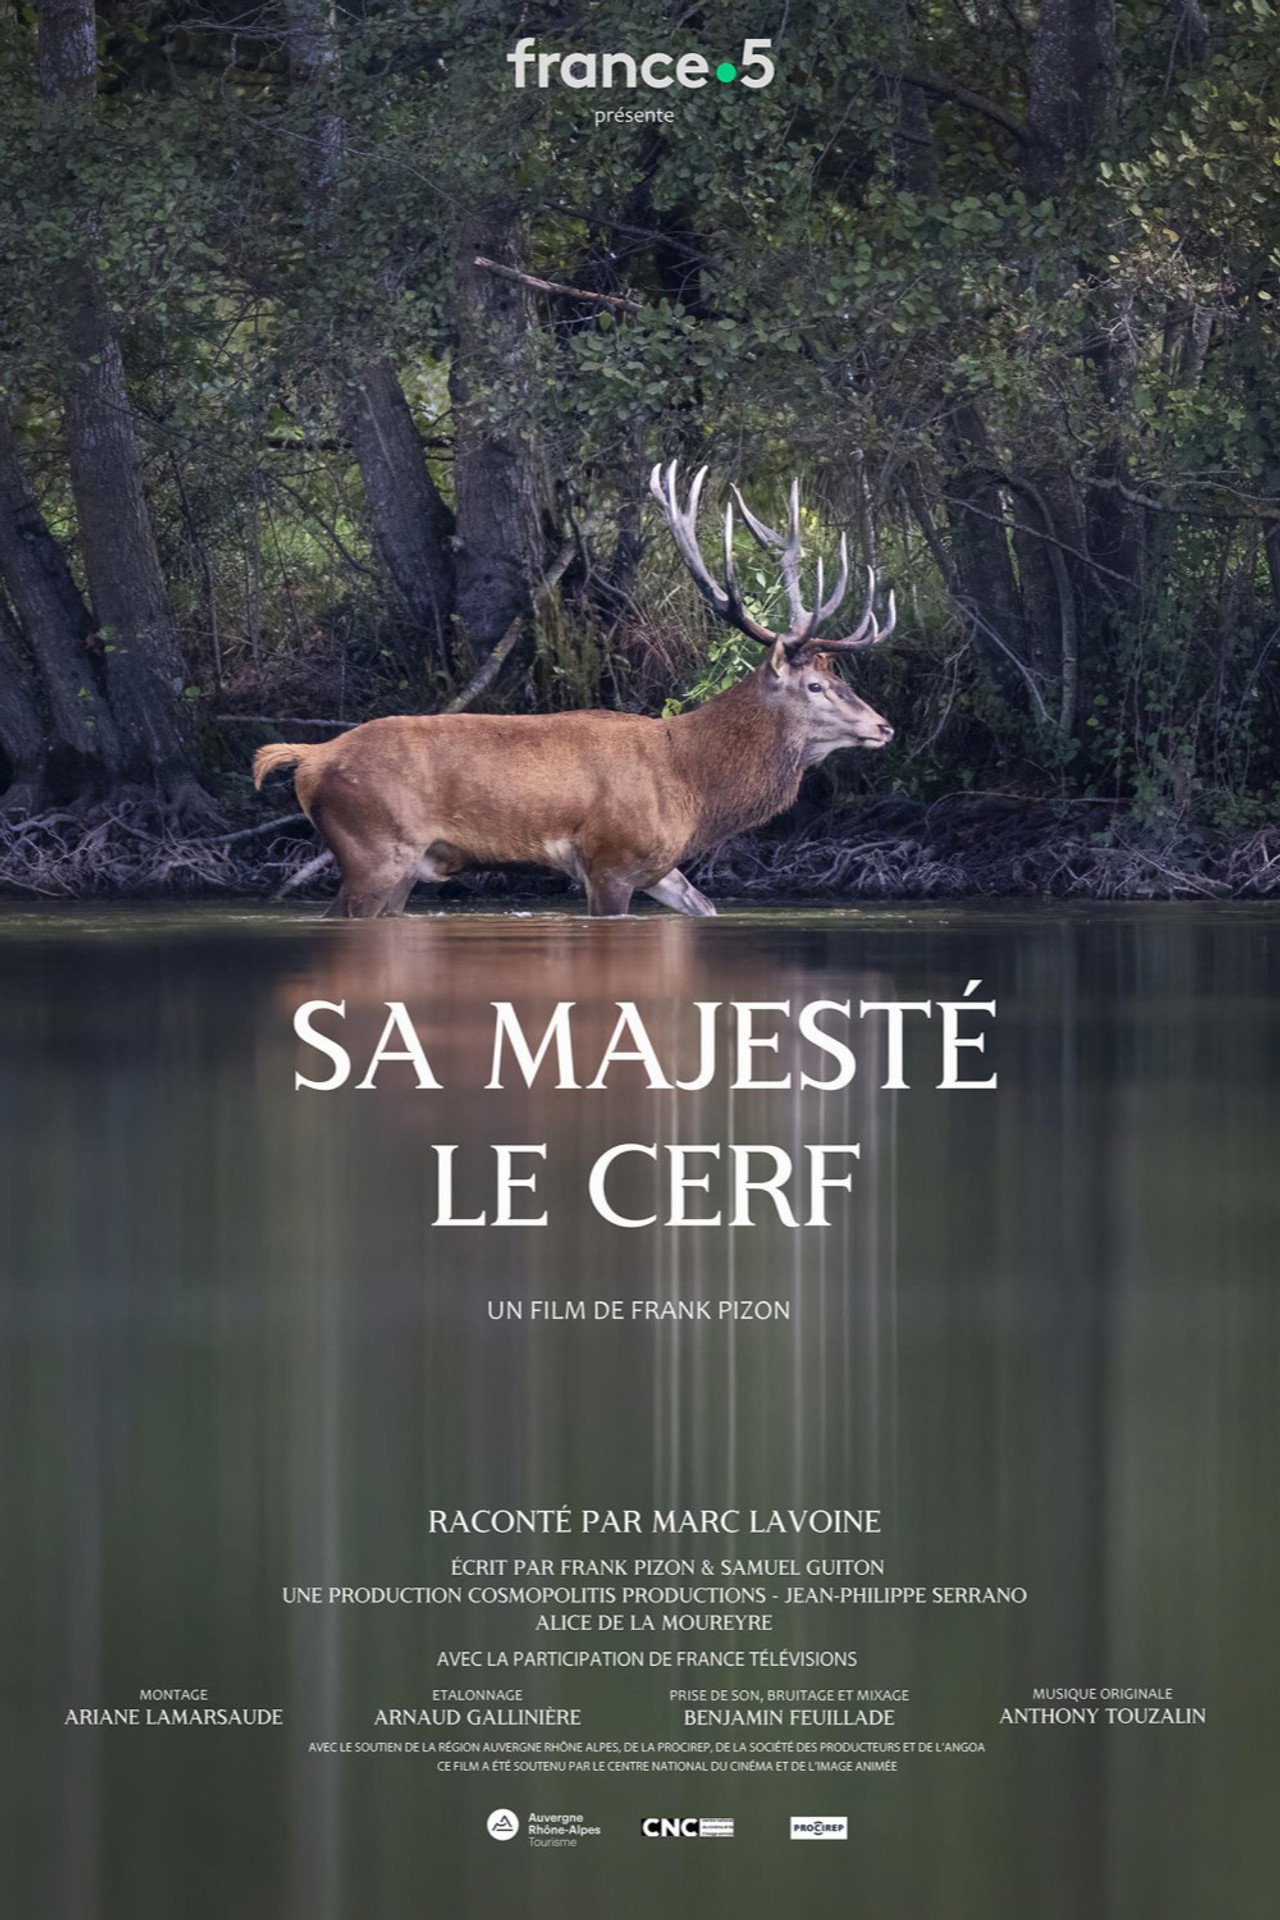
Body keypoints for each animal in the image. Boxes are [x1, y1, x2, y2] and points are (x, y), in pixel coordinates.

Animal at [253, 462, 896, 917]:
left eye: (838, 678)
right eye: (816, 684)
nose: (884, 726)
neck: (691, 784)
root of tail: (310, 757)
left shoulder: (658, 865)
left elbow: (705, 905)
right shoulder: (609, 858)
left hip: (399, 865)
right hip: (374, 850)